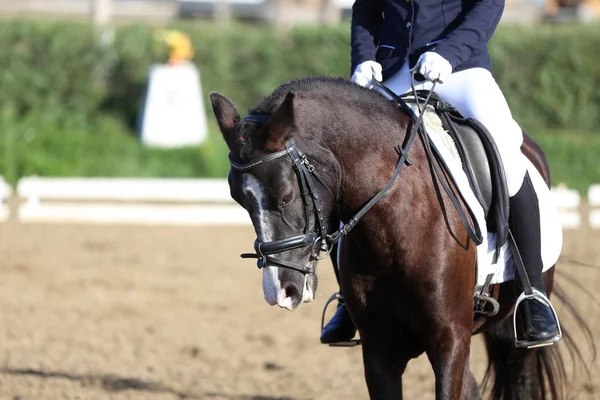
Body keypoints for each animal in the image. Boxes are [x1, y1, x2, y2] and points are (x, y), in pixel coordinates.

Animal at [210, 76, 592, 398]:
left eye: (286, 195)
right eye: (238, 200)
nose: (280, 291)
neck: (394, 233)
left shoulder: (451, 342)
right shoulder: (379, 351)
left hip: (510, 335)